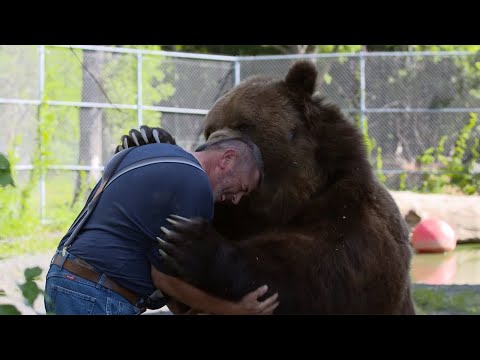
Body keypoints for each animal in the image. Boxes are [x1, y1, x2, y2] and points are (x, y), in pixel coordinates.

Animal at [118, 60, 414, 314]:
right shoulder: (232, 215)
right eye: (209, 128)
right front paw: (143, 136)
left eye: (243, 124)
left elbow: (304, 275)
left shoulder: (349, 224)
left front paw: (189, 241)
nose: (209, 147)